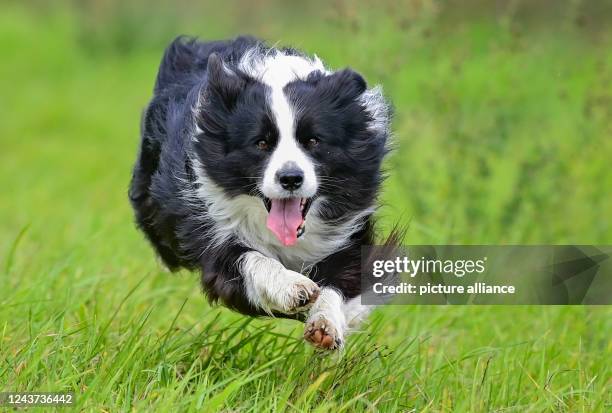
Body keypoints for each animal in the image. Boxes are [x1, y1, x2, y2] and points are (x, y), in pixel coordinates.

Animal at [130, 37, 392, 350]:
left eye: (313, 141)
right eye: (261, 143)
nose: (290, 178)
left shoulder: (350, 229)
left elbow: (344, 281)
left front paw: (325, 324)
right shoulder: (209, 223)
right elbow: (247, 258)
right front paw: (294, 288)